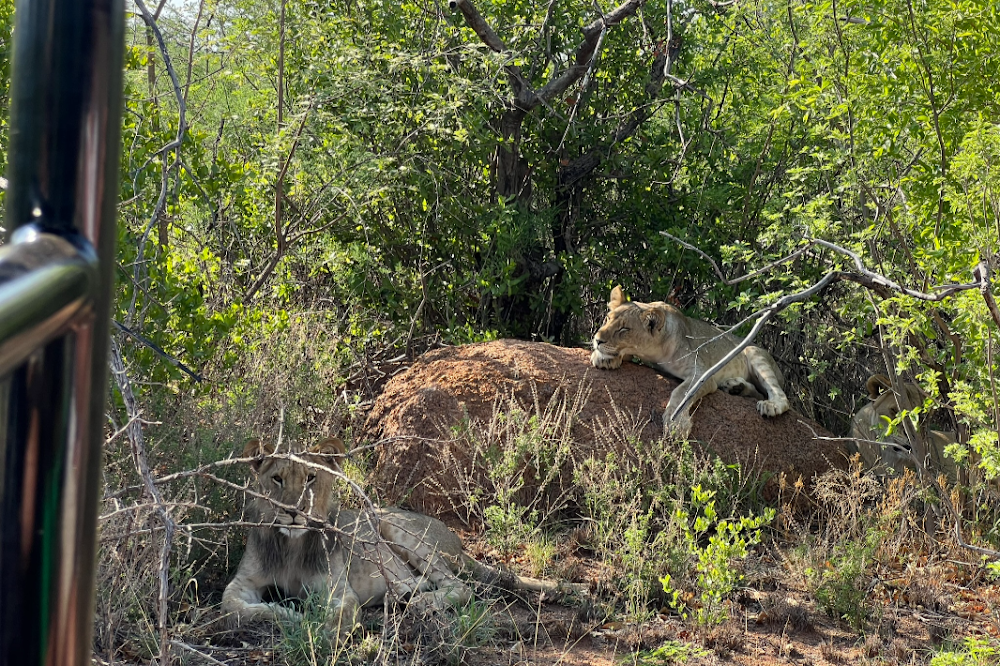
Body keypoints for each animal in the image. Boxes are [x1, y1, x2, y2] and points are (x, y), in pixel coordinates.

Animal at [221, 436, 584, 641]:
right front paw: (291, 615)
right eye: (277, 479)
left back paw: (421, 603)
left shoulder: (339, 589)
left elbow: (340, 615)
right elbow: (235, 608)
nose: (294, 512)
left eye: (311, 478)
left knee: (461, 587)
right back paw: (405, 595)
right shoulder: (242, 583)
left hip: (397, 528)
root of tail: (457, 543)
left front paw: (321, 630)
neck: (292, 546)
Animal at [590, 285, 789, 437]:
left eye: (624, 329)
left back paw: (769, 405)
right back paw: (735, 387)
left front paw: (677, 424)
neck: (656, 351)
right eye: (607, 319)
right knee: (757, 392)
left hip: (755, 353)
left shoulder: (702, 374)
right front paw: (603, 358)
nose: (597, 339)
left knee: (779, 396)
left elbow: (681, 393)